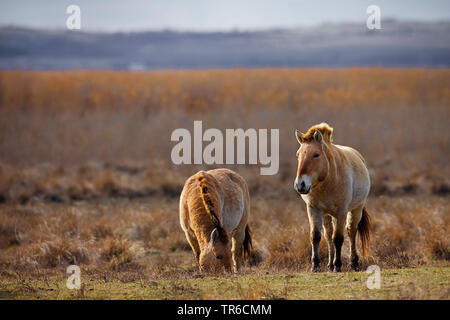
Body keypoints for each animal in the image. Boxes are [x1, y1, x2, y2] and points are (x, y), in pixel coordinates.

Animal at [294, 122, 370, 272]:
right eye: (298, 155)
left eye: (316, 155)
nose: (300, 185)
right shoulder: (313, 210)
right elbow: (315, 236)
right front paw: (315, 265)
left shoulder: (341, 212)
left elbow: (338, 238)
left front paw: (338, 265)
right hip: (327, 214)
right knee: (328, 235)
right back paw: (330, 264)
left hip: (356, 209)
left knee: (351, 231)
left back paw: (353, 262)